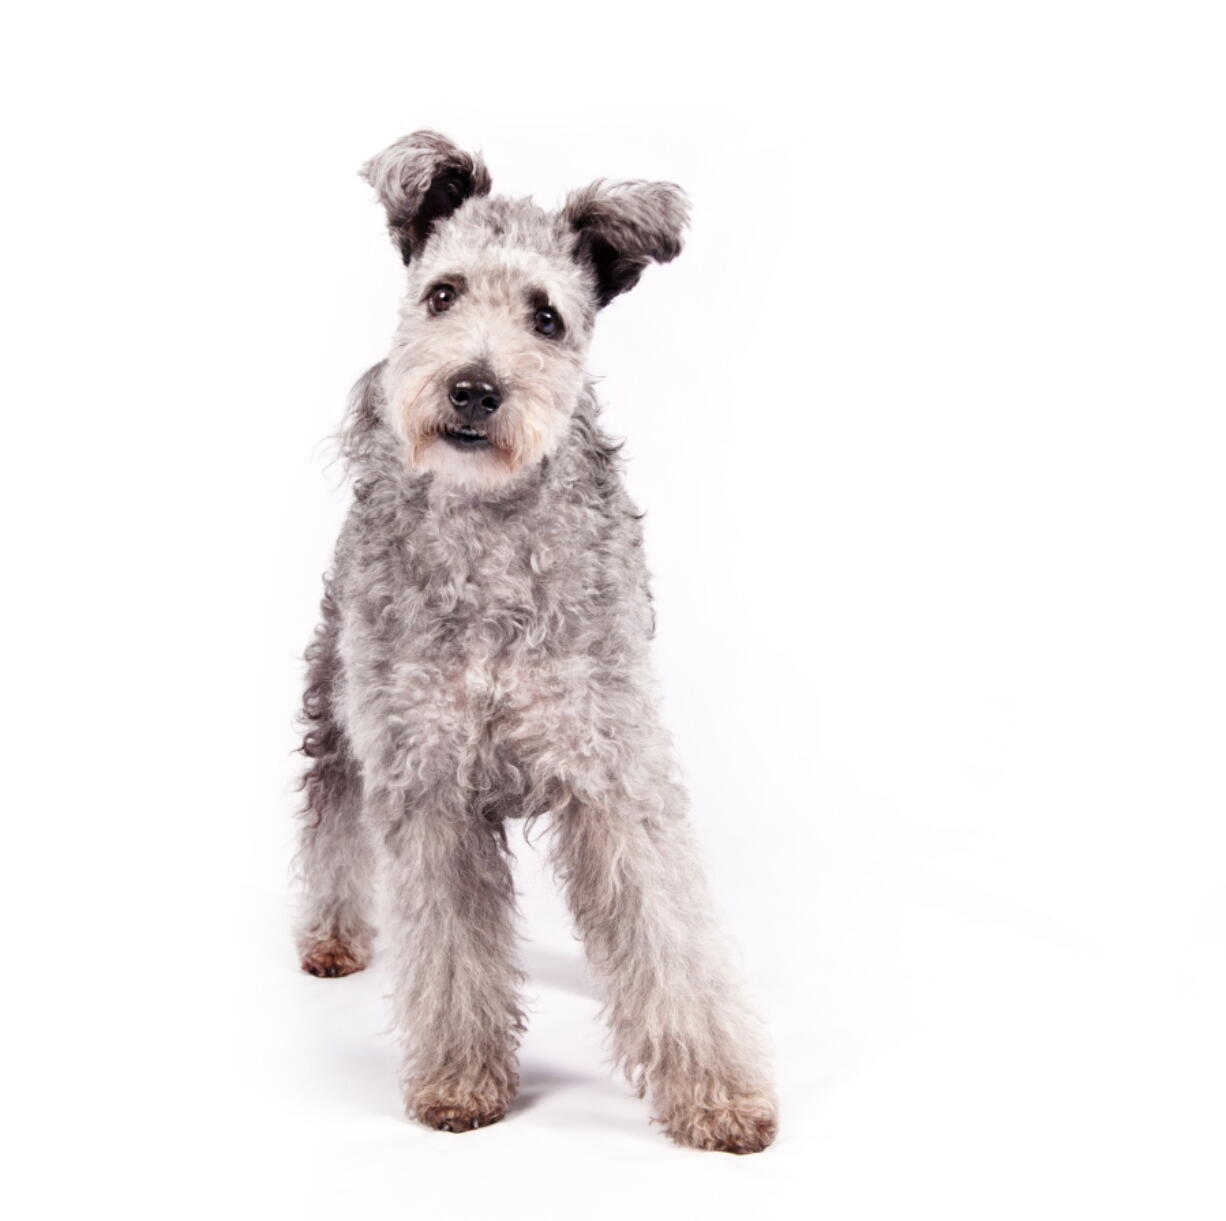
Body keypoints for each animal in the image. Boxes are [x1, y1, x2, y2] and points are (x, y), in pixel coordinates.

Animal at [295, 133, 774, 1152]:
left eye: (547, 318)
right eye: (443, 293)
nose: (474, 388)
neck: (491, 534)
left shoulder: (614, 770)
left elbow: (670, 937)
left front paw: (718, 1093)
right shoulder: (427, 779)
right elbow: (449, 949)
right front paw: (458, 1080)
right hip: (337, 712)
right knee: (330, 820)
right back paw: (333, 934)